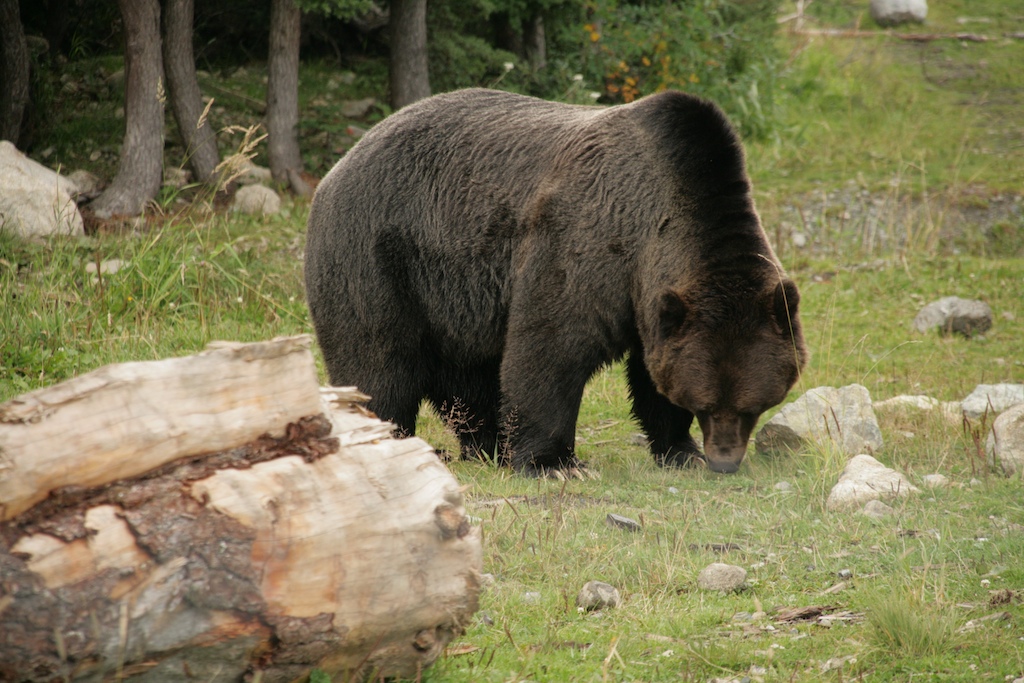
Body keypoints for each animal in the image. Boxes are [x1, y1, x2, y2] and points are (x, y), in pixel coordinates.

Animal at [303, 87, 806, 475]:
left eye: (752, 406)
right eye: (707, 404)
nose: (725, 461)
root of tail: (335, 169)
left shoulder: (652, 303)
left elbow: (651, 371)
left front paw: (681, 450)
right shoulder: (590, 240)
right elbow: (552, 344)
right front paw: (556, 464)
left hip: (453, 298)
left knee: (470, 375)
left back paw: (488, 447)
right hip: (378, 259)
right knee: (378, 363)